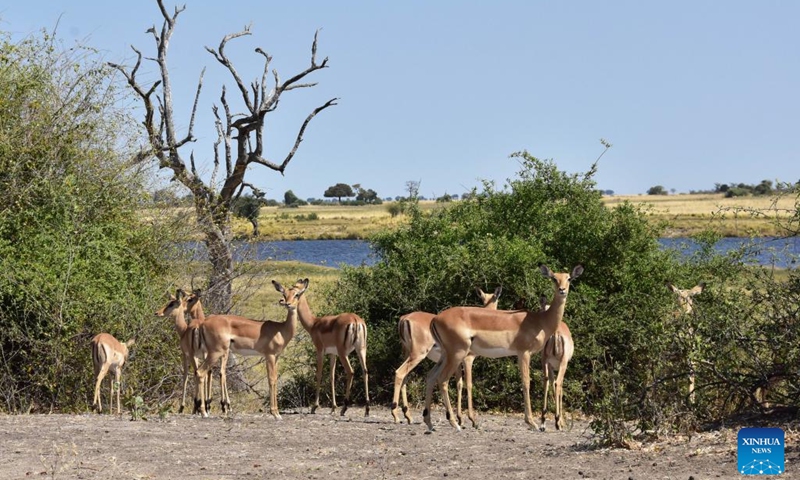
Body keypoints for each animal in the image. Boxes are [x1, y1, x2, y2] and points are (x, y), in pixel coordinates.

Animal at [192, 280, 304, 418]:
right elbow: (271, 379)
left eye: (296, 294)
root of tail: (203, 323)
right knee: (201, 372)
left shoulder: (276, 357)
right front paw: (275, 413)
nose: (287, 304)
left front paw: (276, 411)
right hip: (216, 352)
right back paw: (204, 412)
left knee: (202, 372)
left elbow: (275, 379)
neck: (280, 330)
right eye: (284, 293)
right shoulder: (269, 355)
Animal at [290, 278, 372, 416]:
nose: (285, 302)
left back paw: (344, 408)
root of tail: (355, 320)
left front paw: (315, 407)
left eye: (296, 292)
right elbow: (332, 377)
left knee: (350, 372)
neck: (314, 323)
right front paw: (333, 407)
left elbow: (319, 374)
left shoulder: (320, 351)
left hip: (344, 353)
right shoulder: (333, 354)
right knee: (365, 371)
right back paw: (366, 409)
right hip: (361, 350)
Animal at [392, 284, 500, 424]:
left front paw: (460, 418)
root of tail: (405, 318)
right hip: (417, 355)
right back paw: (396, 415)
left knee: (404, 376)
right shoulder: (467, 359)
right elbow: (468, 384)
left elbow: (459, 384)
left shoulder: (457, 363)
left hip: (408, 355)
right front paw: (470, 419)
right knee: (400, 373)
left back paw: (408, 416)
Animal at [422, 264, 584, 434]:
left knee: (431, 376)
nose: (562, 290)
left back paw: (430, 423)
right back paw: (455, 423)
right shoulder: (523, 353)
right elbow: (526, 382)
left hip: (445, 356)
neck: (540, 321)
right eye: (553, 278)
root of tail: (436, 319)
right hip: (456, 355)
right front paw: (531, 422)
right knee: (443, 380)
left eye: (568, 278)